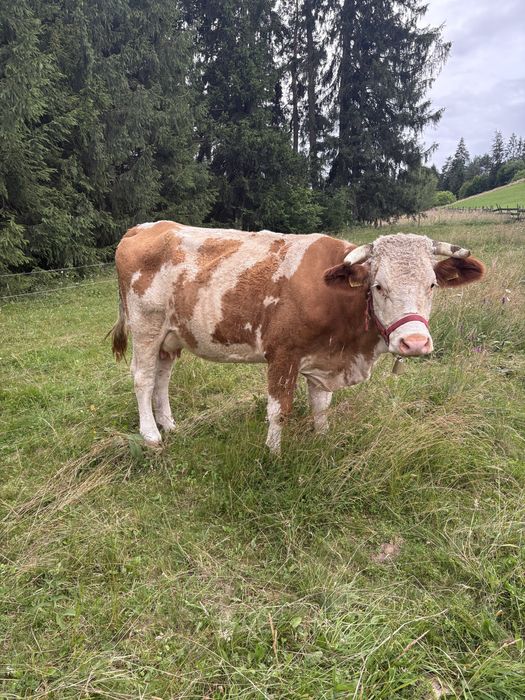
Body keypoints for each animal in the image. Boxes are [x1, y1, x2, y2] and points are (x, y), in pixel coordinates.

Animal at [111, 221, 485, 452]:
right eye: (379, 286)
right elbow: (280, 410)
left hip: (171, 335)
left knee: (163, 377)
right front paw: (273, 454)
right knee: (143, 378)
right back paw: (151, 434)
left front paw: (323, 440)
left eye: (432, 285)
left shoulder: (324, 359)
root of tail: (145, 227)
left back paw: (169, 424)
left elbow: (321, 406)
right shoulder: (282, 355)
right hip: (146, 327)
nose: (415, 342)